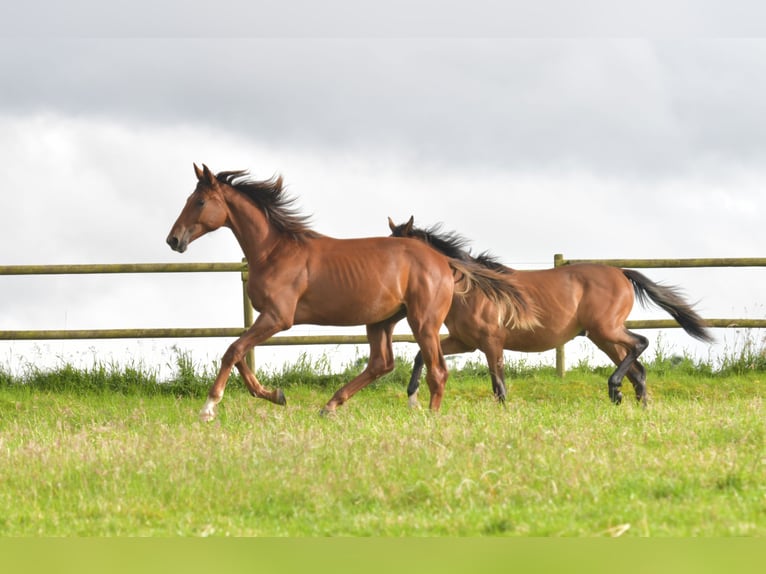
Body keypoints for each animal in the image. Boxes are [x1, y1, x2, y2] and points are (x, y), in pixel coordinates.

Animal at [166, 164, 540, 420]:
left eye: (200, 201)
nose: (173, 240)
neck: (274, 252)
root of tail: (443, 260)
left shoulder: (277, 318)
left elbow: (233, 350)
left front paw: (209, 407)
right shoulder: (265, 319)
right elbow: (239, 352)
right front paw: (276, 395)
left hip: (423, 322)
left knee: (436, 370)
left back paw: (429, 417)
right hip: (382, 321)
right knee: (381, 363)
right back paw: (330, 405)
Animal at [388, 217, 716, 410]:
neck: (471, 287)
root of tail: (621, 272)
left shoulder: (492, 342)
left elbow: (498, 384)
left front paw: (504, 413)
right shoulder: (464, 342)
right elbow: (420, 356)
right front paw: (412, 398)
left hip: (606, 330)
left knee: (640, 344)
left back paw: (614, 388)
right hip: (604, 338)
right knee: (639, 370)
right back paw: (633, 403)